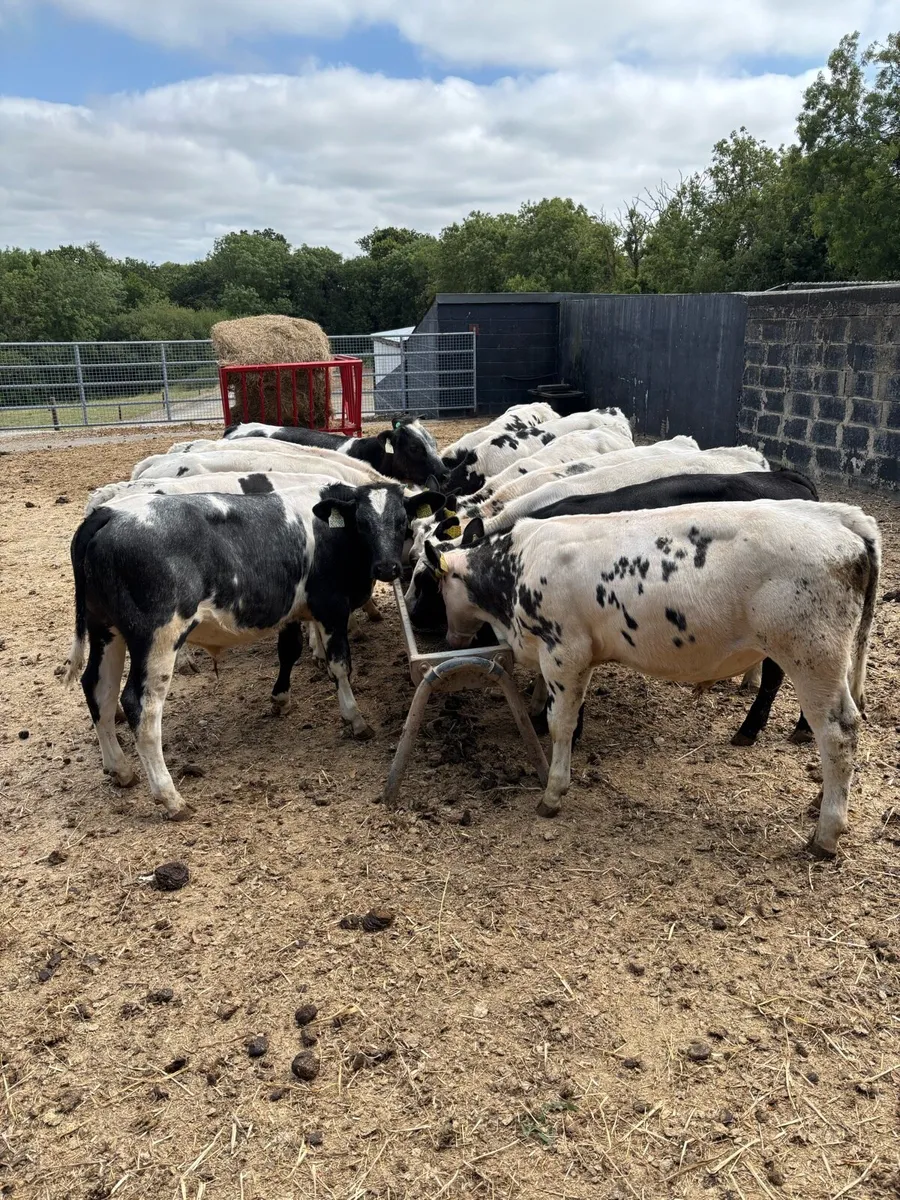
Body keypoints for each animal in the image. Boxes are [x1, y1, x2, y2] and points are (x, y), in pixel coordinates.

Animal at [64, 480, 444, 819]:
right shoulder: (331, 607)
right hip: (158, 637)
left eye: (402, 521)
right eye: (362, 523)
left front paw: (281, 699)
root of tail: (109, 513)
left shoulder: (294, 611)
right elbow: (339, 665)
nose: (387, 568)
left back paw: (120, 769)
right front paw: (355, 718)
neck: (334, 536)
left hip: (106, 630)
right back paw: (170, 798)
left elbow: (289, 651)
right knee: (139, 706)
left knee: (98, 689)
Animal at [423, 500, 880, 857]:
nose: (447, 637)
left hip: (811, 655)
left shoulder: (564, 651)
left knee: (838, 732)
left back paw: (826, 833)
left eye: (434, 584)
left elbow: (561, 725)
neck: (520, 565)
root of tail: (841, 518)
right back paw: (822, 800)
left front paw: (553, 792)